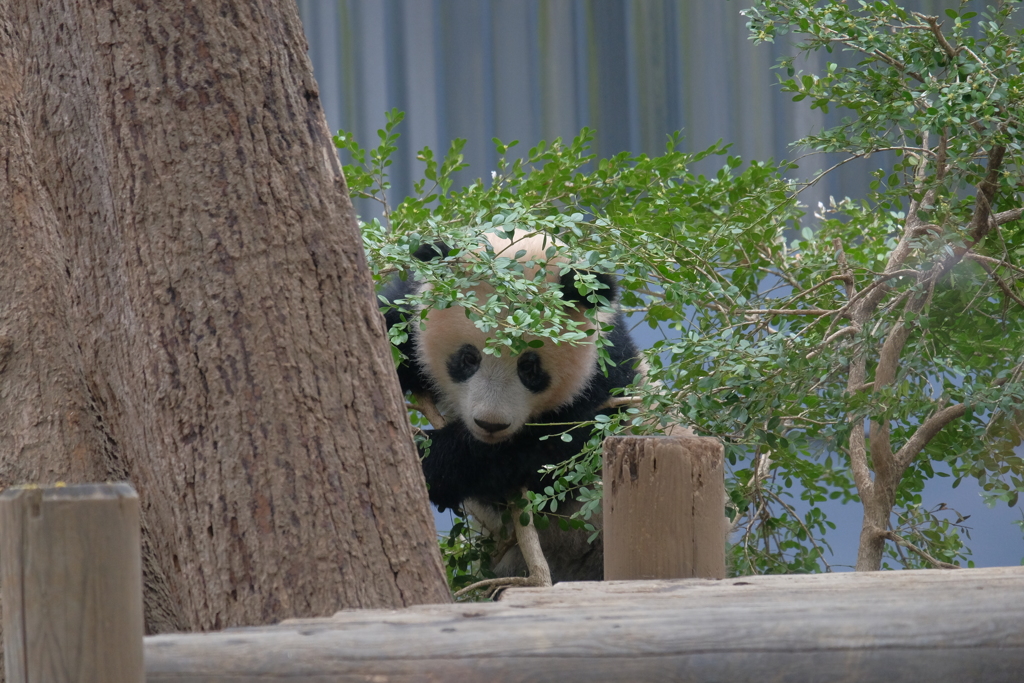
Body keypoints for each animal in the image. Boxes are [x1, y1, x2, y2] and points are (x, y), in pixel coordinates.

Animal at [380, 232, 643, 585]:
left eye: (529, 368)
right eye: (469, 358)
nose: (490, 424)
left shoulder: (602, 390)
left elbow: (537, 459)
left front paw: (430, 461)